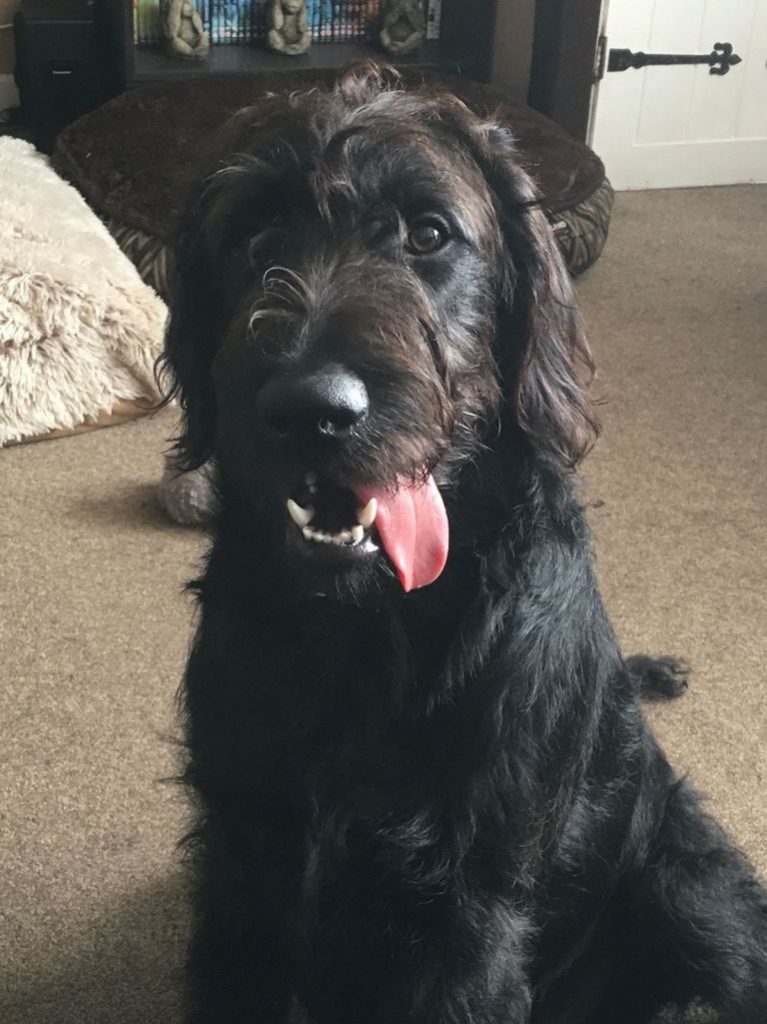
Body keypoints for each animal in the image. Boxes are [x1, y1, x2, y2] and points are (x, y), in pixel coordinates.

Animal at [159, 66, 761, 1024]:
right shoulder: (240, 873)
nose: (310, 409)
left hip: (691, 893)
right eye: (248, 238)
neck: (366, 637)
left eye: (427, 233)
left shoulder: (466, 912)